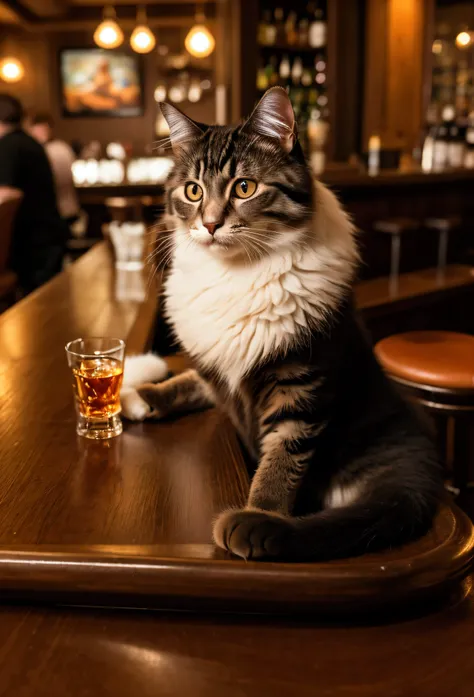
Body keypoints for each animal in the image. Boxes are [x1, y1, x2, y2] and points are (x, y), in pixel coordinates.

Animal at [124, 88, 442, 560]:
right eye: (193, 191)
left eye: (245, 187)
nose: (210, 224)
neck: (236, 273)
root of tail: (422, 461)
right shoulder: (216, 365)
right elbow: (183, 381)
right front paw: (137, 394)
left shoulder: (300, 385)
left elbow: (281, 460)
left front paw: (259, 516)